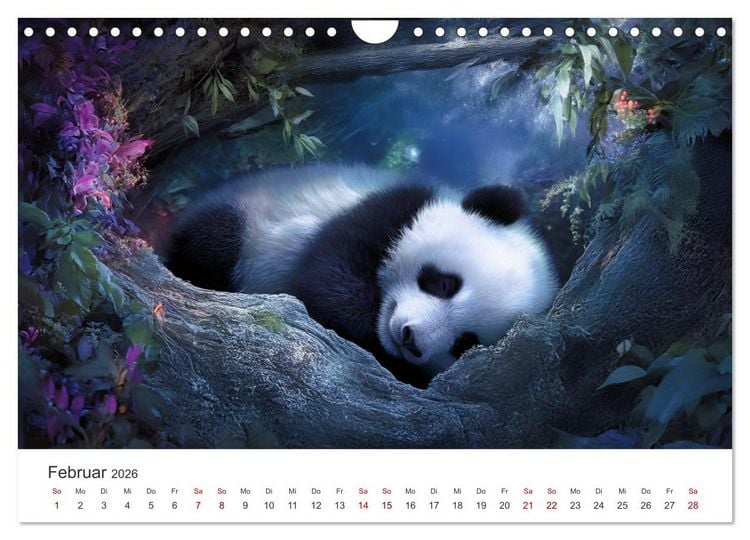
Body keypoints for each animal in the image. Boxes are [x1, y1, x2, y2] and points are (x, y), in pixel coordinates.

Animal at [165, 164, 557, 387]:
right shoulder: (388, 209)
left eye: (465, 344)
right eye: (445, 284)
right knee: (215, 241)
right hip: (250, 219)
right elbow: (330, 274)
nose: (410, 339)